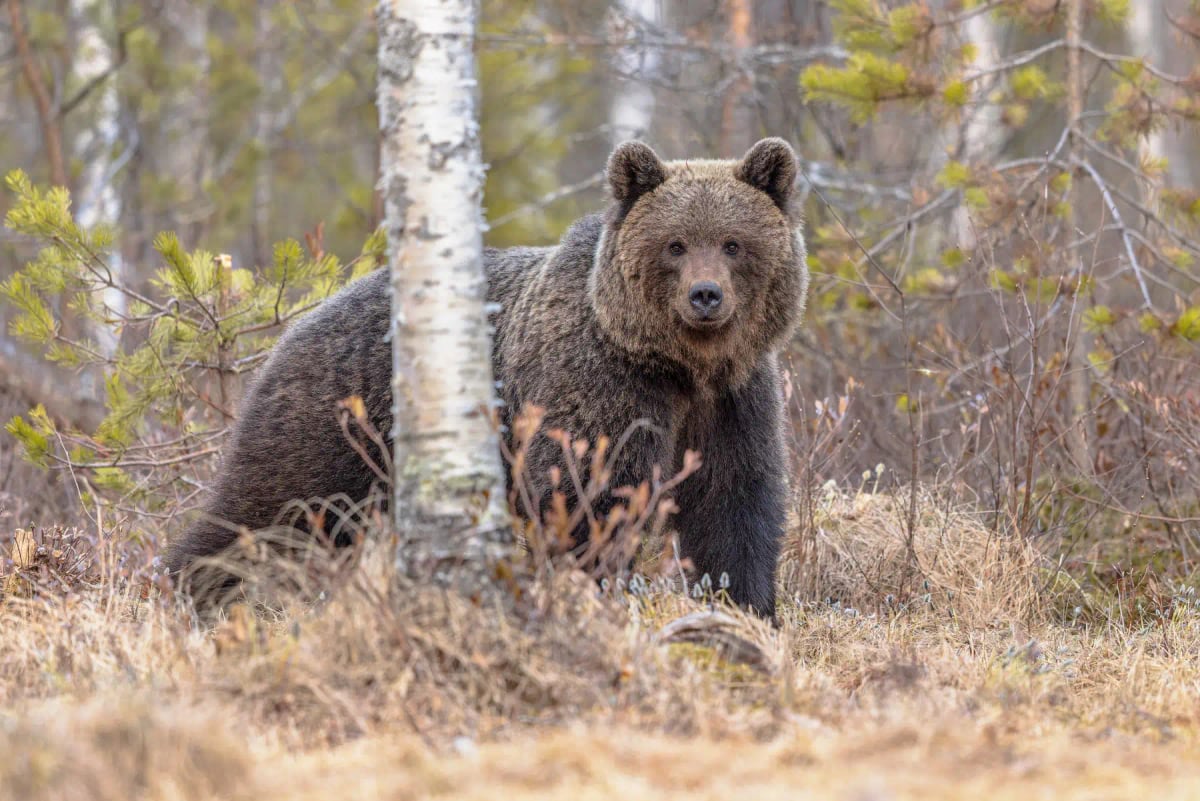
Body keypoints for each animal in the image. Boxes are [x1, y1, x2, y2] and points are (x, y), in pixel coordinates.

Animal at [164, 137, 809, 618]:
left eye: (733, 243)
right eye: (675, 244)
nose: (706, 295)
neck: (680, 365)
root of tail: (300, 322)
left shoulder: (733, 401)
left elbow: (734, 505)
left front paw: (748, 607)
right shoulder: (604, 388)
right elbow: (589, 500)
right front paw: (595, 596)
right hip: (333, 421)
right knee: (269, 510)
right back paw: (189, 589)